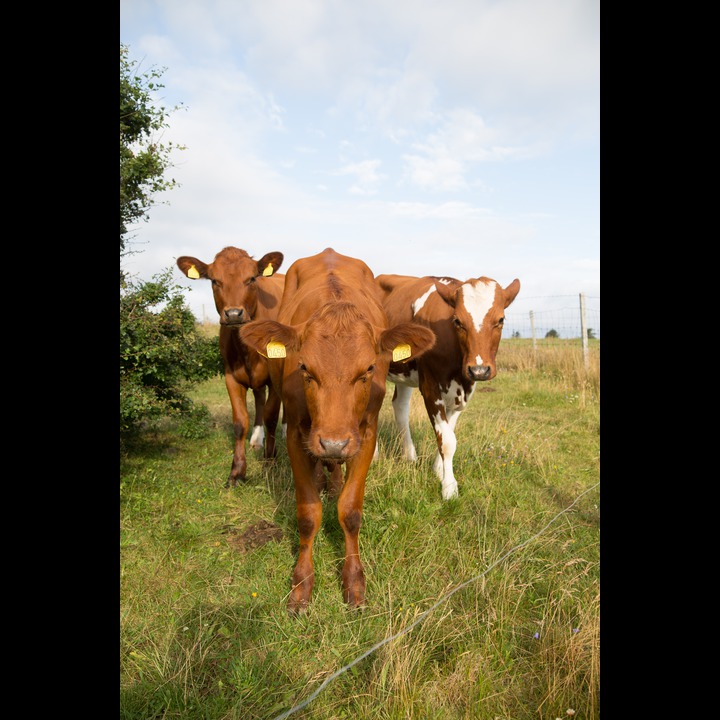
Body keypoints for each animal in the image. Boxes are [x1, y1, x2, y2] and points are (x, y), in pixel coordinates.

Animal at [176, 248, 286, 490]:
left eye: (252, 278)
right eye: (215, 280)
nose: (234, 314)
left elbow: (272, 417)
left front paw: (270, 461)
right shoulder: (231, 377)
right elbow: (240, 423)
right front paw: (237, 472)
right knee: (259, 398)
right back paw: (256, 439)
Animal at [239, 248, 436, 612]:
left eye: (369, 368)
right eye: (304, 367)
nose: (333, 442)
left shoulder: (365, 435)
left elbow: (350, 510)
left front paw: (354, 581)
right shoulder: (297, 434)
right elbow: (307, 513)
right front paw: (301, 584)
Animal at [376, 274, 516, 500]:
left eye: (500, 320)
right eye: (457, 321)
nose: (479, 370)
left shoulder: (464, 393)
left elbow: (449, 431)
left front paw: (438, 470)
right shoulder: (430, 389)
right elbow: (448, 441)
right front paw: (449, 487)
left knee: (400, 406)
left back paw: (410, 456)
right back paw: (375, 455)